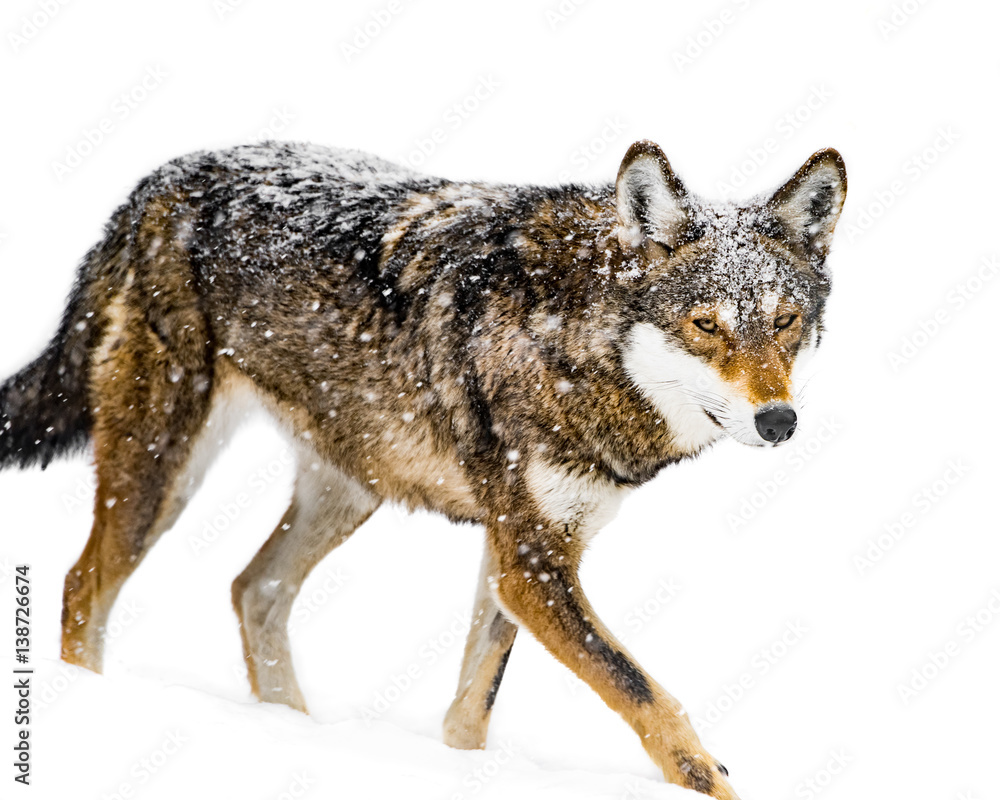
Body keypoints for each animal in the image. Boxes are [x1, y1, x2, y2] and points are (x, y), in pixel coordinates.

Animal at [0, 139, 845, 798]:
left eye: (784, 322)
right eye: (706, 326)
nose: (779, 421)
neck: (570, 338)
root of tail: (156, 182)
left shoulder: (522, 557)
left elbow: (470, 711)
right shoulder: (530, 563)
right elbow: (646, 693)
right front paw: (712, 777)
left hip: (349, 488)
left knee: (253, 589)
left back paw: (294, 729)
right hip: (162, 475)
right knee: (82, 588)